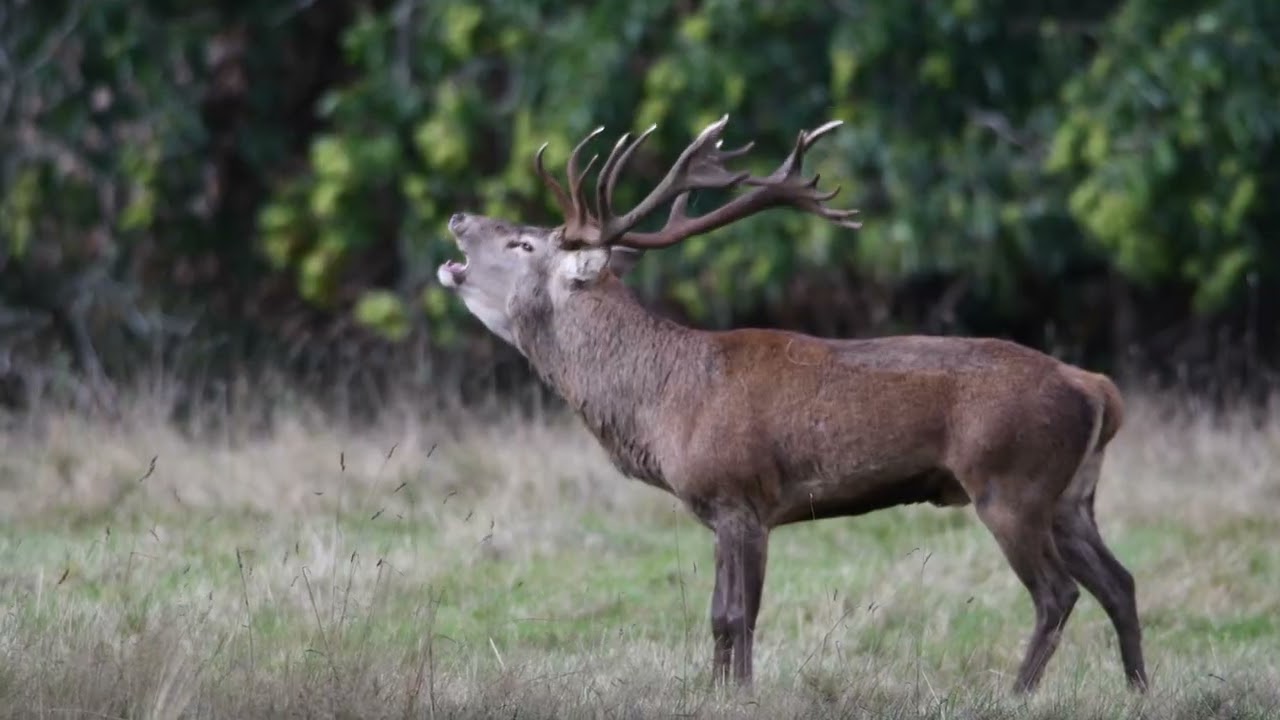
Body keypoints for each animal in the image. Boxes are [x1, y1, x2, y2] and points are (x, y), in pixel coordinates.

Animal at [436, 115, 1148, 694]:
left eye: (525, 244)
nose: (459, 218)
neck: (662, 407)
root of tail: (1097, 388)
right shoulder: (722, 509)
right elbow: (718, 616)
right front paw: (714, 693)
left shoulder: (741, 494)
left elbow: (737, 615)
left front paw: (739, 695)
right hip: (1070, 495)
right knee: (1120, 582)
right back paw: (1138, 690)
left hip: (1010, 481)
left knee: (1057, 594)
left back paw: (1016, 694)